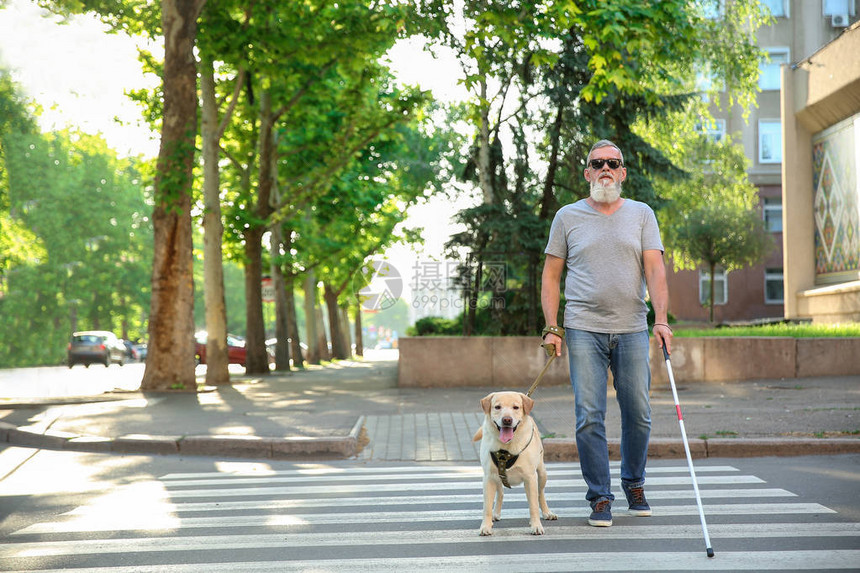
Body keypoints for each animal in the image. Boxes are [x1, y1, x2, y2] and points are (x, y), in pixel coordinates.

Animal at [470, 392, 556, 536]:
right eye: (497, 407)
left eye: (516, 407)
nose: (507, 420)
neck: (506, 448)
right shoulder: (488, 478)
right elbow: (486, 507)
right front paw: (486, 526)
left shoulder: (530, 478)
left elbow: (533, 505)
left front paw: (536, 525)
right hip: (497, 478)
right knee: (500, 493)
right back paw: (495, 514)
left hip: (542, 473)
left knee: (540, 494)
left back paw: (547, 513)